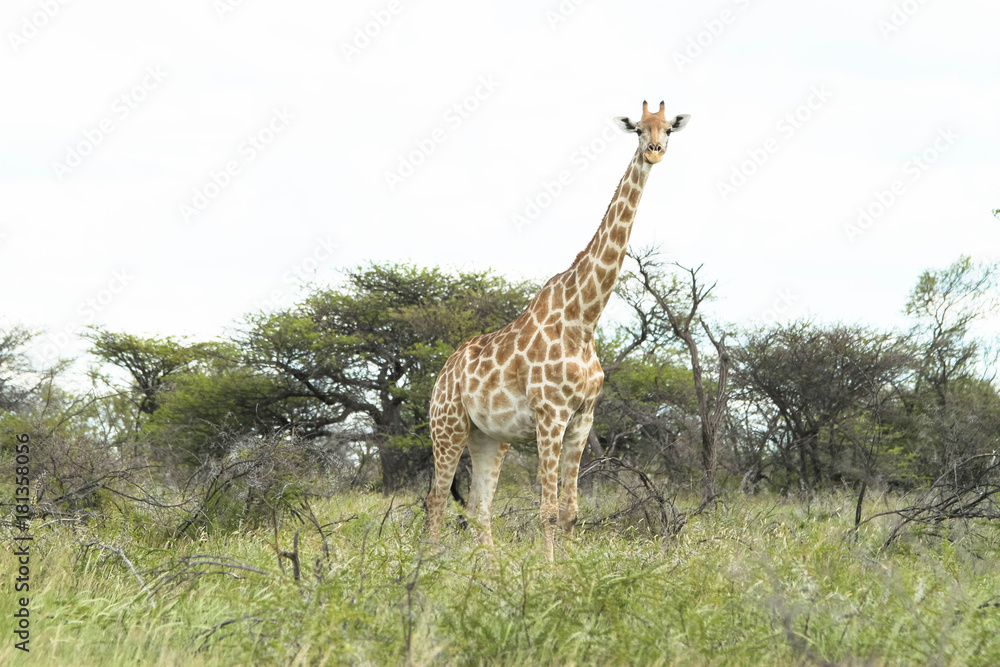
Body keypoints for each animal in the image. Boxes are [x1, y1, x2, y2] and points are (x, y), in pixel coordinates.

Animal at [426, 101, 691, 561]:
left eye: (669, 129)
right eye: (639, 129)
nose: (655, 152)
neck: (583, 319)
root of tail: (441, 375)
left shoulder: (583, 418)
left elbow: (569, 510)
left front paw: (570, 570)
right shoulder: (551, 414)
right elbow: (547, 510)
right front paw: (549, 572)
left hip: (490, 438)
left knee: (478, 508)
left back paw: (487, 571)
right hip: (448, 427)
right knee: (437, 500)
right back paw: (428, 567)